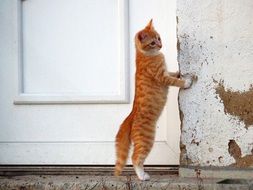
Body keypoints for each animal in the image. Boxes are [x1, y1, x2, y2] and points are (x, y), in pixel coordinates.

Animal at [114, 19, 192, 181]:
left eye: (159, 38)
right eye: (152, 43)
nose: (161, 45)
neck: (145, 55)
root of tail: (130, 116)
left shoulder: (165, 72)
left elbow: (172, 73)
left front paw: (179, 72)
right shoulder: (162, 77)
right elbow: (175, 81)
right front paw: (186, 82)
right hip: (147, 139)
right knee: (135, 158)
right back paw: (142, 175)